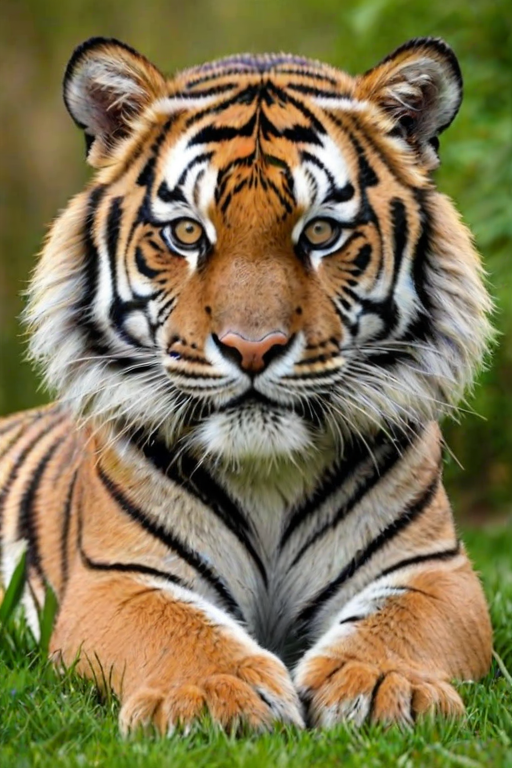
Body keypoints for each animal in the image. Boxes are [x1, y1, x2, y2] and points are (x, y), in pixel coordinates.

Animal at [0, 35, 493, 734]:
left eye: (321, 232)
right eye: (186, 232)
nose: (251, 348)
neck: (268, 475)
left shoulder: (434, 570)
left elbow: (398, 624)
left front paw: (384, 683)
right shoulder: (117, 577)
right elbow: (177, 628)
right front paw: (210, 693)